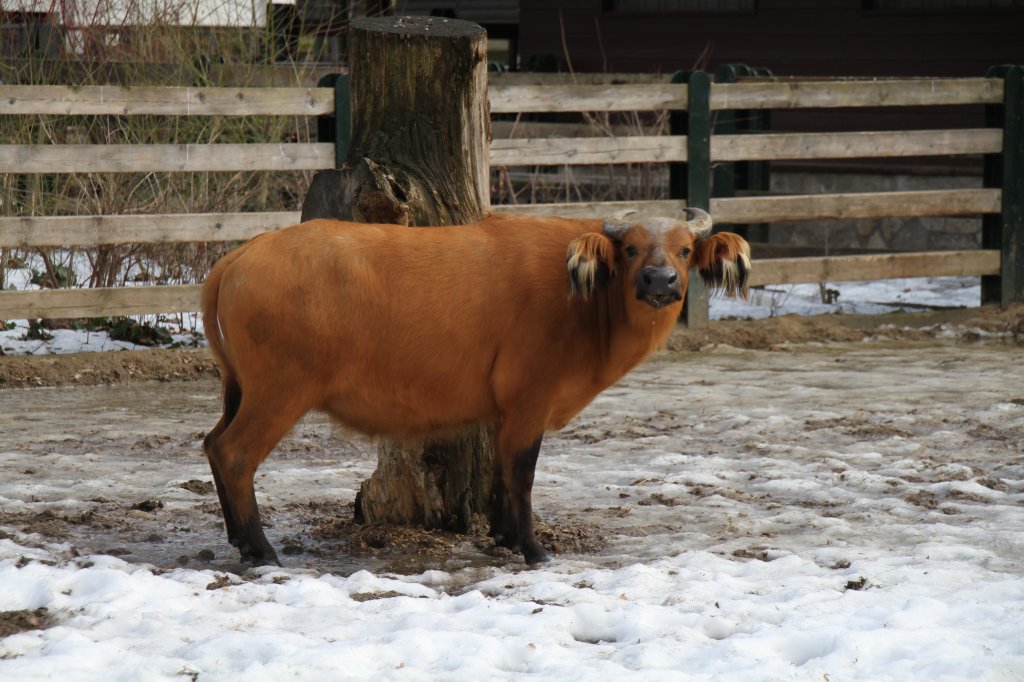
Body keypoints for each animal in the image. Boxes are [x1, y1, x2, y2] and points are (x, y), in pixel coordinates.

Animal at [199, 206, 753, 561]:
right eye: (633, 248)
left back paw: (237, 538)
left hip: (241, 390)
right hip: (279, 392)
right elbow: (522, 472)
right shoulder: (529, 400)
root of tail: (237, 258)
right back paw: (260, 549)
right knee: (235, 454)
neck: (583, 297)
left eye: (685, 249)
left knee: (211, 444)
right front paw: (531, 548)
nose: (660, 282)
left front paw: (506, 537)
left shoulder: (505, 411)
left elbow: (502, 473)